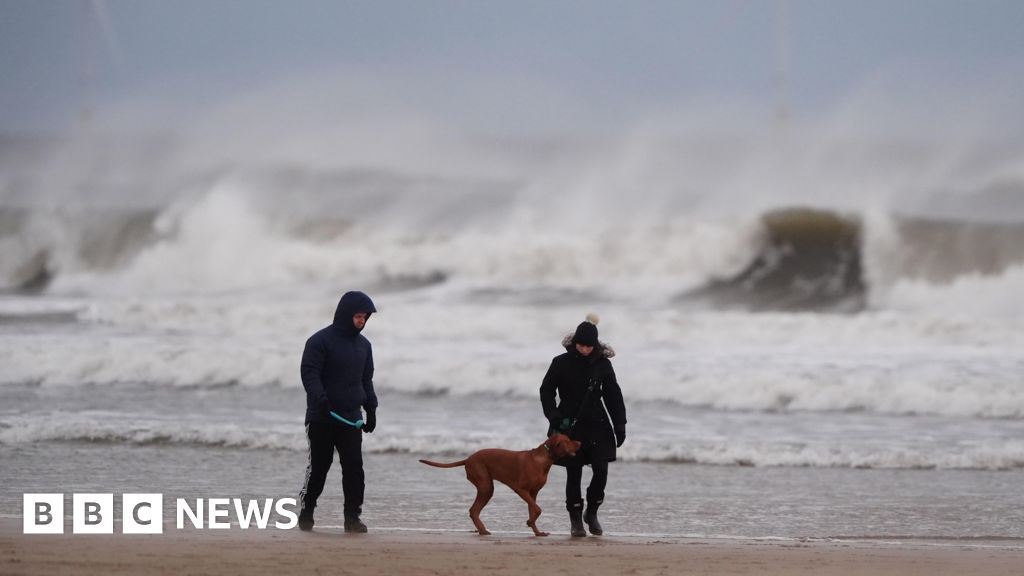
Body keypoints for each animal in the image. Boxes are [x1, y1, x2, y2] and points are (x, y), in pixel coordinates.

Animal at [417, 432, 581, 537]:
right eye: (568, 440)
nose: (580, 442)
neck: (543, 459)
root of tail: (468, 458)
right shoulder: (521, 489)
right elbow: (538, 509)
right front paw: (530, 522)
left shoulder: (533, 493)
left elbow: (533, 510)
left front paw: (537, 531)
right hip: (486, 486)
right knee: (473, 510)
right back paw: (483, 530)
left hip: (486, 487)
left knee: (474, 511)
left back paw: (482, 530)